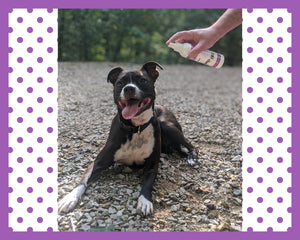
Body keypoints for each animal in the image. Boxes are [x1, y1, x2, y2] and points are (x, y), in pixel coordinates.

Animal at [58, 61, 199, 216]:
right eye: (120, 83)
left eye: (142, 80)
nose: (129, 88)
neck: (135, 128)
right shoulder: (98, 162)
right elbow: (83, 180)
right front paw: (70, 198)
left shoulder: (152, 164)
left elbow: (148, 183)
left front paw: (145, 201)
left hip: (167, 126)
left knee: (191, 146)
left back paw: (192, 158)